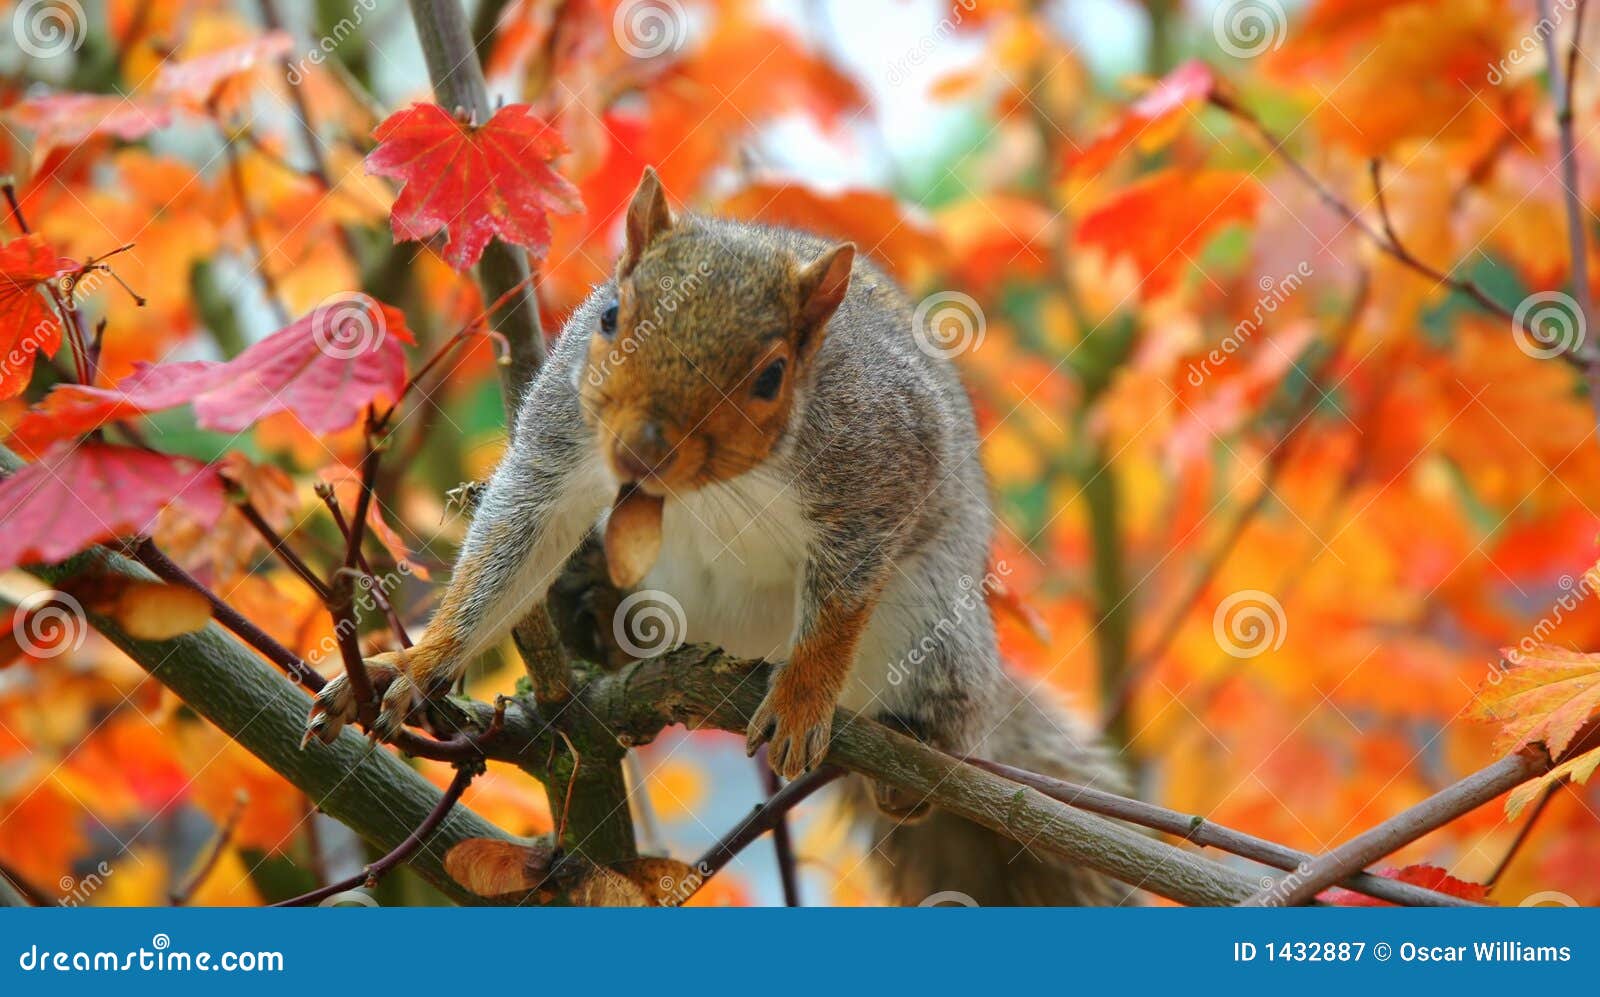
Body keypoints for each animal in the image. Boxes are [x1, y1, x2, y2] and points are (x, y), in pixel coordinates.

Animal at [305, 167, 1129, 906]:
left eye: (771, 375)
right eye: (610, 316)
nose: (640, 449)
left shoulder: (882, 465)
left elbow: (842, 598)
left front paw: (802, 694)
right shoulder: (559, 439)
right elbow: (513, 540)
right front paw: (414, 665)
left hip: (934, 621)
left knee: (950, 704)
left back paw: (917, 755)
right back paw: (598, 619)